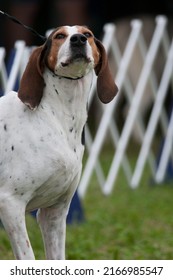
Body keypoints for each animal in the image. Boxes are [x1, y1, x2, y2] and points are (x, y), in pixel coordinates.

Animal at [0, 25, 117, 260]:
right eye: (59, 36)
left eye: (88, 34)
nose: (78, 40)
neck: (55, 116)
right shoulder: (10, 204)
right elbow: (28, 257)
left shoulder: (54, 212)